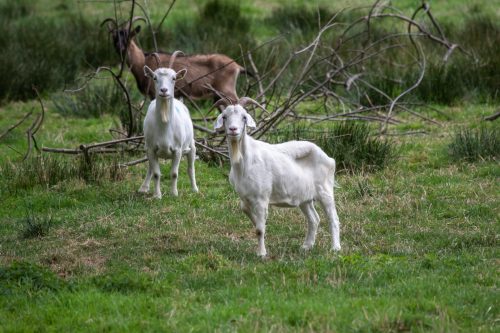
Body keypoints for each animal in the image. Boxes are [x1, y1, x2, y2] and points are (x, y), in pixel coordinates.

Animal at [102, 16, 250, 102]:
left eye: (128, 36)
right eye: (114, 36)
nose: (119, 47)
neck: (143, 60)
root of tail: (237, 66)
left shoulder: (154, 93)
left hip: (227, 91)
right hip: (218, 96)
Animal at [139, 51, 199, 198]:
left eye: (174, 78)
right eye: (155, 78)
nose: (164, 90)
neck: (165, 127)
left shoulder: (177, 150)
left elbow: (174, 173)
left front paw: (174, 194)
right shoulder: (151, 149)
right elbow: (156, 173)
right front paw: (157, 195)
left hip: (191, 145)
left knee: (191, 168)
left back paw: (195, 189)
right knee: (150, 168)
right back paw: (143, 188)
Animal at [213, 97, 342, 255]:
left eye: (244, 117)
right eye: (225, 117)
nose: (233, 130)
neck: (245, 162)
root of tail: (329, 158)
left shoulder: (261, 198)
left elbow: (259, 230)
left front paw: (261, 253)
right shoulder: (244, 197)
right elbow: (248, 213)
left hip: (325, 191)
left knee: (333, 218)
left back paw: (335, 248)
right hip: (304, 197)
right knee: (314, 219)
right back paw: (306, 246)